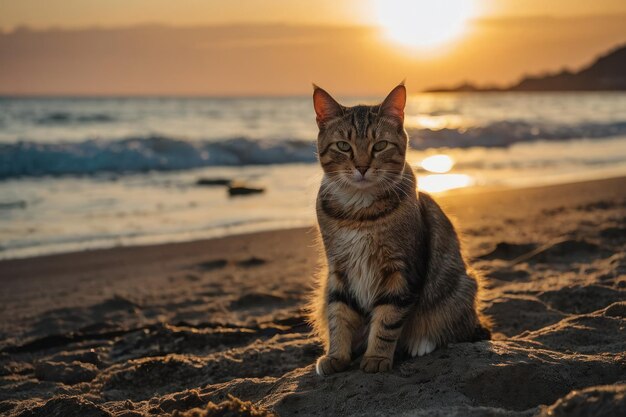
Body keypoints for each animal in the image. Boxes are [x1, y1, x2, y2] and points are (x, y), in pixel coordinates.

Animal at [310, 82, 490, 374]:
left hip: (460, 287)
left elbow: (388, 319)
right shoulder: (338, 270)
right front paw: (337, 355)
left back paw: (420, 344)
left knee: (454, 328)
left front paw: (377, 357)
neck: (359, 213)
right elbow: (338, 314)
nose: (362, 167)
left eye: (380, 145)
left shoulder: (401, 271)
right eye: (343, 146)